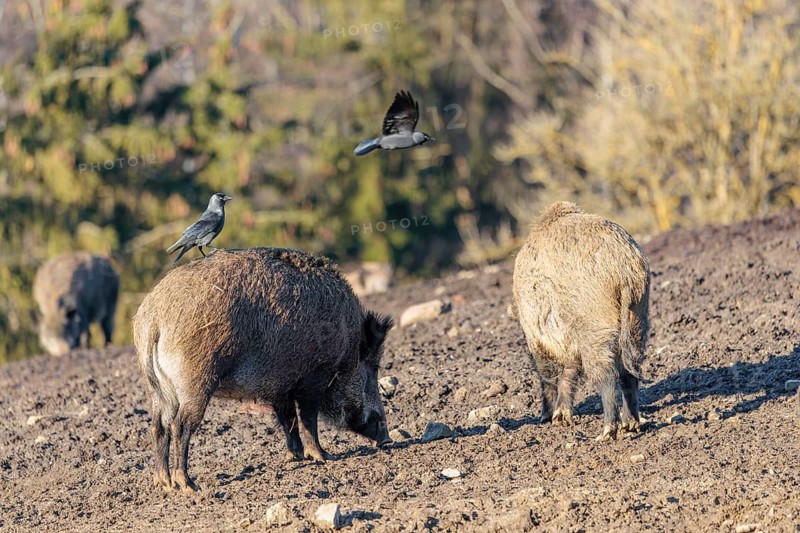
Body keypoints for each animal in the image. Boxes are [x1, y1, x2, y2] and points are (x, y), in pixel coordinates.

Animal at [133, 247, 394, 492]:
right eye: (373, 366)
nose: (387, 439)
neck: (347, 345)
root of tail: (154, 320)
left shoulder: (279, 387)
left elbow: (288, 420)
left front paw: (296, 457)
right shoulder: (314, 378)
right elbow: (307, 419)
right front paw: (323, 457)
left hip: (158, 388)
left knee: (158, 426)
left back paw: (164, 482)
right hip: (195, 383)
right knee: (180, 425)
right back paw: (188, 485)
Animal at [511, 202, 650, 441]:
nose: (546, 419)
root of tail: (624, 269)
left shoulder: (536, 338)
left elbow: (548, 375)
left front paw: (548, 418)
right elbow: (570, 372)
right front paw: (560, 418)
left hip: (595, 327)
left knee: (607, 375)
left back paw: (606, 433)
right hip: (637, 320)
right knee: (630, 373)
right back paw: (630, 426)